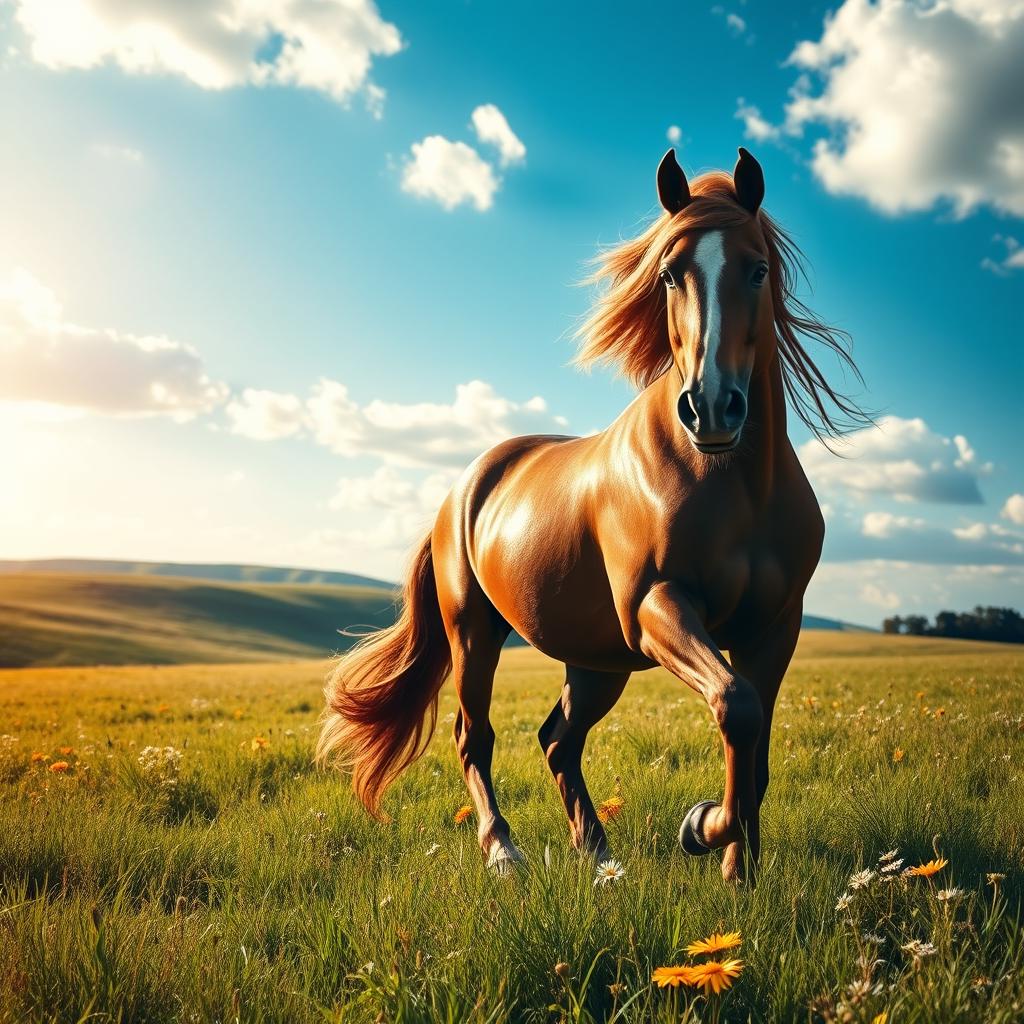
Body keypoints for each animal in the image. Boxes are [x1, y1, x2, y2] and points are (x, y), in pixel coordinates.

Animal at [317, 147, 866, 882]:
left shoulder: (774, 629)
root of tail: (463, 488)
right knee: (474, 735)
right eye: (669, 273)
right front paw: (702, 829)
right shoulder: (657, 606)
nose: (712, 408)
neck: (732, 486)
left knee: (558, 739)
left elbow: (758, 752)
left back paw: (599, 854)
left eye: (757, 269)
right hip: (476, 634)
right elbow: (735, 707)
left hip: (597, 661)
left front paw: (738, 871)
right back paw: (505, 851)